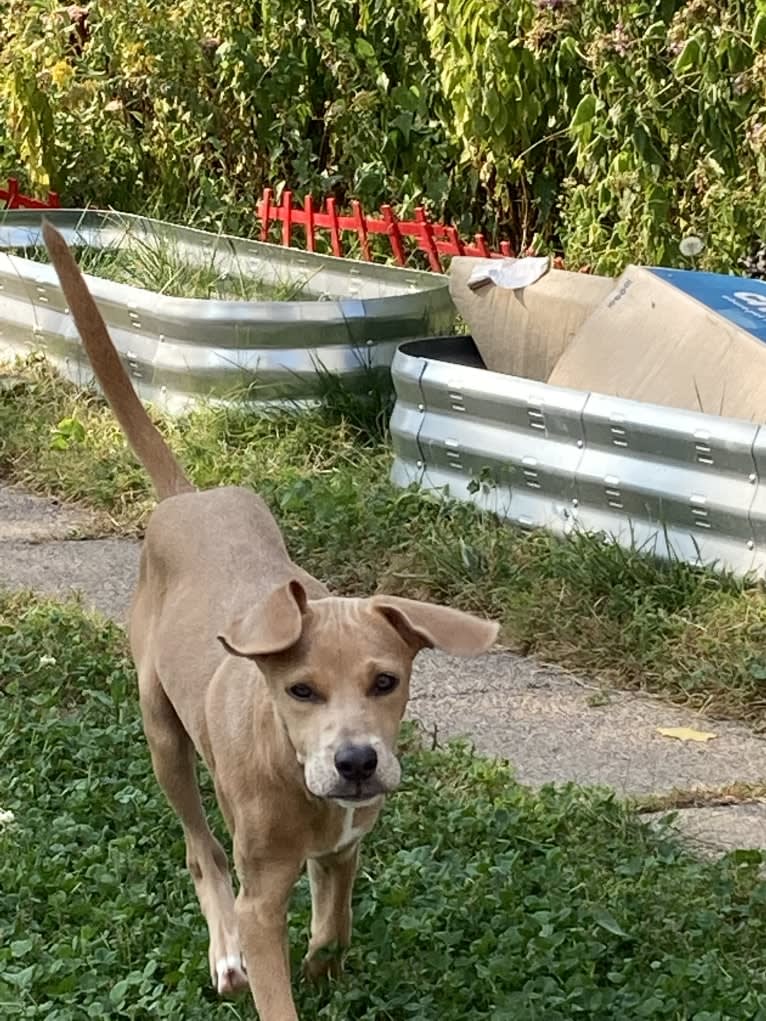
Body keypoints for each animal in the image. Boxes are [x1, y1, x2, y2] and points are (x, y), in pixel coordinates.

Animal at [43, 223, 498, 1021]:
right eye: (300, 691)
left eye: (387, 682)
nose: (357, 762)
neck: (292, 764)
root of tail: (188, 497)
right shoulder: (262, 900)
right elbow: (272, 970)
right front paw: (272, 971)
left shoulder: (346, 845)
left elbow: (334, 920)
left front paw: (324, 962)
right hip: (161, 731)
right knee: (201, 847)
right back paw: (223, 955)